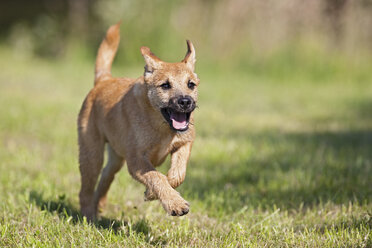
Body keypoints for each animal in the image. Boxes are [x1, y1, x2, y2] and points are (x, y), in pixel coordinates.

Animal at [77, 22, 199, 221]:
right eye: (165, 85)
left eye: (191, 84)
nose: (185, 101)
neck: (161, 128)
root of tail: (104, 80)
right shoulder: (136, 160)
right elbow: (157, 176)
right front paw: (175, 204)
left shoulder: (185, 143)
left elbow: (177, 174)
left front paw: (152, 193)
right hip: (92, 154)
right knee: (86, 189)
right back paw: (88, 217)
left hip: (116, 158)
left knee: (105, 177)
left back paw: (99, 205)